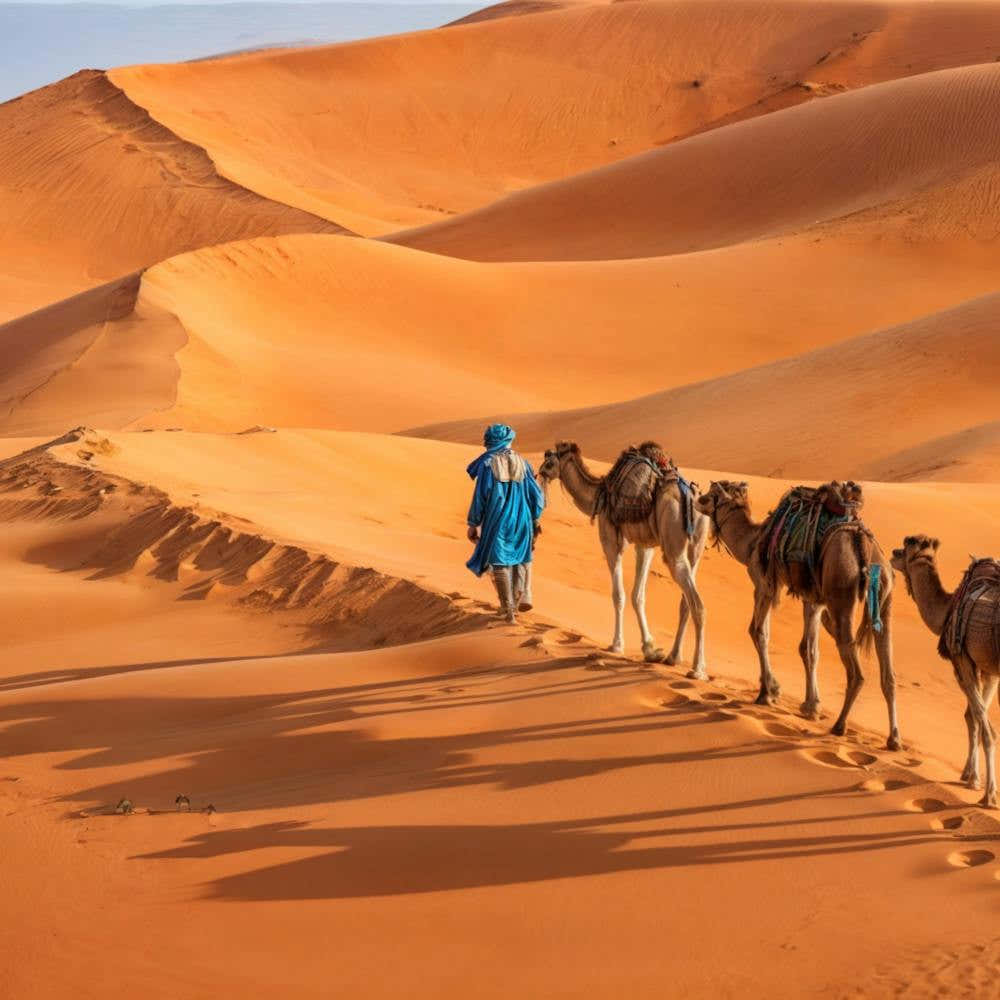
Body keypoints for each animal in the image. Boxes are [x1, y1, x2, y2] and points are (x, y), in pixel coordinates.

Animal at [537, 441, 709, 675]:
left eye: (549, 462)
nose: (540, 473)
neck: (599, 493)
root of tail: (689, 496)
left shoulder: (611, 541)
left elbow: (618, 594)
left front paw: (616, 645)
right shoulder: (644, 545)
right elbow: (638, 595)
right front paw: (650, 648)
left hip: (673, 547)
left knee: (697, 604)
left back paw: (698, 669)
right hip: (695, 546)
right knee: (686, 602)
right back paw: (673, 657)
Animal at [695, 480, 901, 751]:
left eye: (711, 496)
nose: (697, 498)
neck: (753, 542)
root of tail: (862, 546)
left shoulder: (765, 583)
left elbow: (758, 632)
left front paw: (768, 692)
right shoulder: (813, 600)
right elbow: (809, 649)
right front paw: (811, 706)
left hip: (842, 593)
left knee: (856, 670)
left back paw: (839, 725)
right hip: (884, 598)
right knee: (888, 672)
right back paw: (894, 738)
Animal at [891, 535, 1000, 807]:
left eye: (903, 551)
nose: (892, 553)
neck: (948, 609)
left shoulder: (962, 660)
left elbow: (982, 726)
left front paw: (985, 791)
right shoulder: (988, 670)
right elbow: (973, 717)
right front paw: (969, 775)